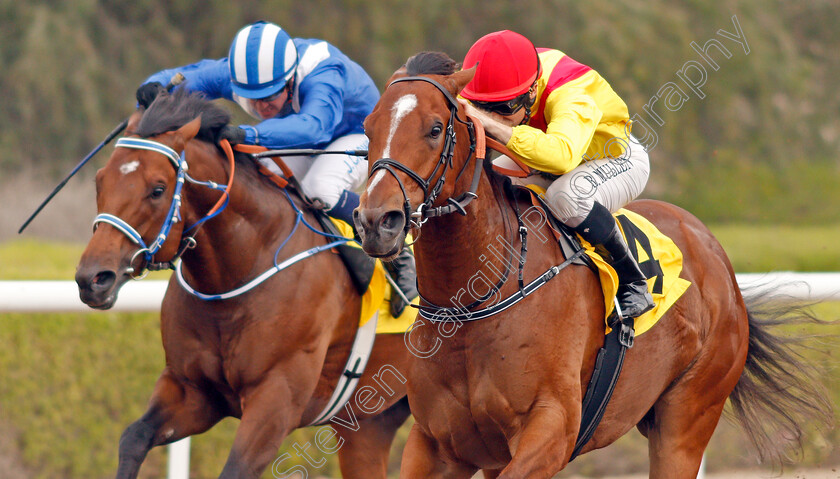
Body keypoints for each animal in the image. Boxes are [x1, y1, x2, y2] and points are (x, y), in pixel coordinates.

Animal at [77, 91, 412, 479]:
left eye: (157, 190)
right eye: (100, 181)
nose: (92, 278)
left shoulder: (276, 399)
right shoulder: (194, 391)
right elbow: (133, 437)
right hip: (370, 422)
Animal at [354, 50, 832, 478]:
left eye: (435, 128)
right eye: (368, 129)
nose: (377, 221)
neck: (474, 303)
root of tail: (716, 258)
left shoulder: (551, 430)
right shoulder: (437, 445)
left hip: (687, 419)